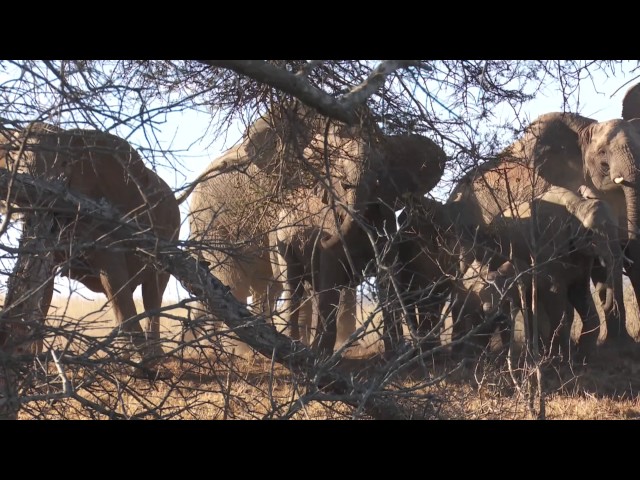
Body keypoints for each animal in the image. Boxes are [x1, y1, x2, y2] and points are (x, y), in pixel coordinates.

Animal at [0, 122, 181, 370]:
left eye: (65, 164)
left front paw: (140, 364)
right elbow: (45, 287)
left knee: (153, 291)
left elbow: (114, 279)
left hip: (170, 231)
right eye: (14, 162)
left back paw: (154, 359)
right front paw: (36, 364)